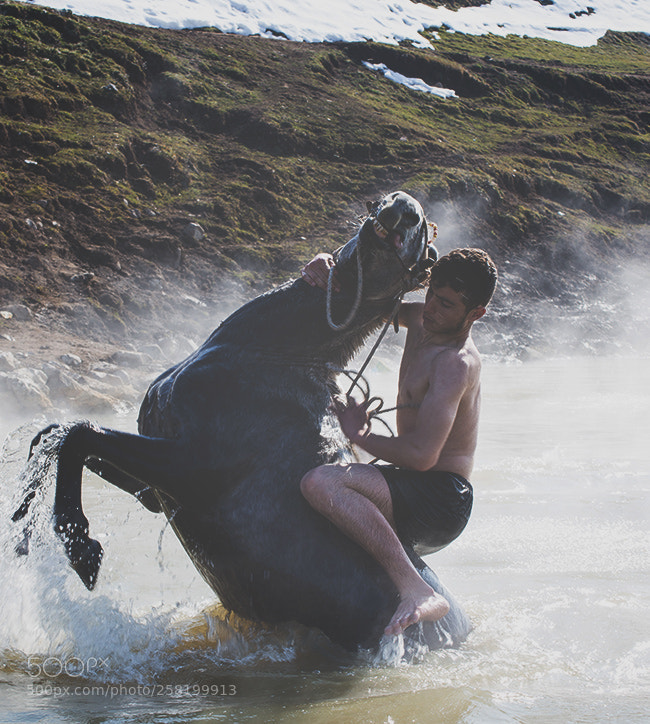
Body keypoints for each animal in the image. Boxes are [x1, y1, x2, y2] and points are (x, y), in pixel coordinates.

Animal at [12, 191, 471, 652]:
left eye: (426, 246)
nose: (405, 207)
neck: (268, 352)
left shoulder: (189, 470)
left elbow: (79, 435)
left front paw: (81, 548)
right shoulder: (154, 492)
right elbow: (52, 436)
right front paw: (21, 522)